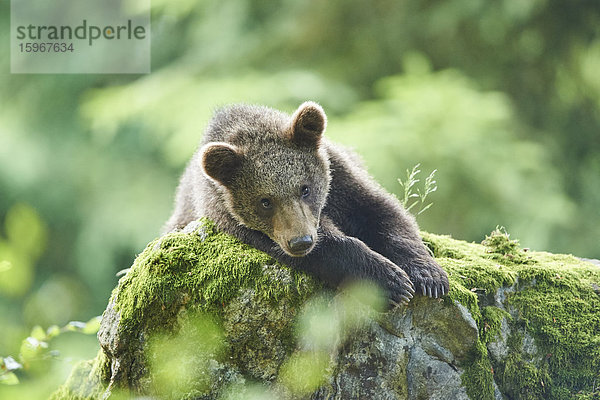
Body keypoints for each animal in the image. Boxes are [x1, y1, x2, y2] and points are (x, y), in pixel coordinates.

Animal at [163, 101, 446, 304]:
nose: (301, 241)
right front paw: (390, 281)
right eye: (265, 201)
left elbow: (382, 213)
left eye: (305, 189)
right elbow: (328, 247)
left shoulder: (341, 177)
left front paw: (429, 277)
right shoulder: (237, 221)